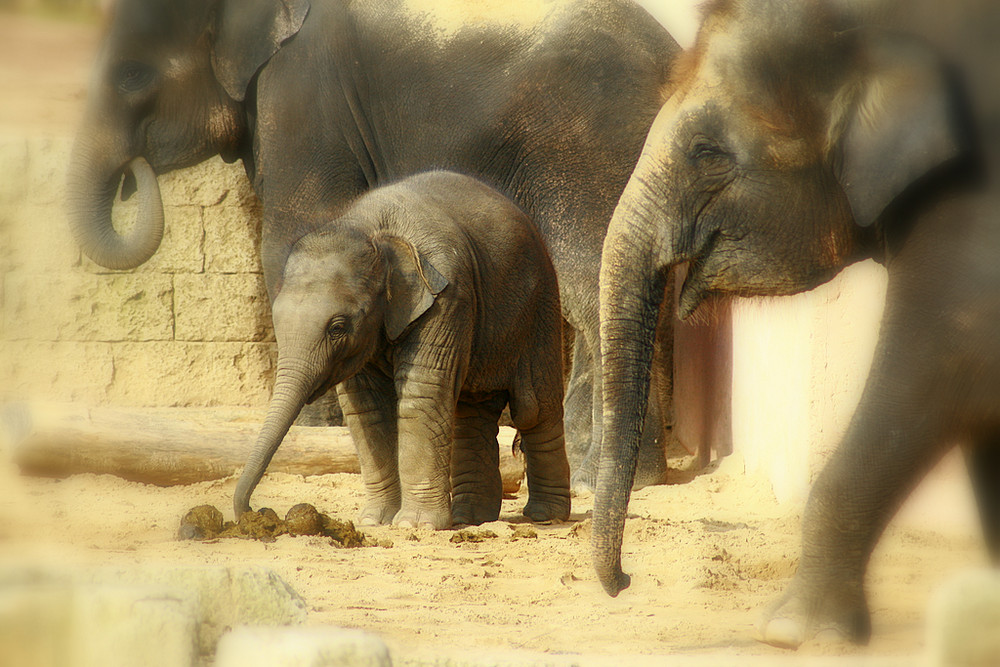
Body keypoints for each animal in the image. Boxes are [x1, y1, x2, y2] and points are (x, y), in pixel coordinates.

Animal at [68, 0, 680, 488]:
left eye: (131, 76)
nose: (134, 174)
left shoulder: (301, 101)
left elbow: (288, 237)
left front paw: (314, 426)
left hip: (585, 149)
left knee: (593, 281)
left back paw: (608, 475)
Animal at [233, 170, 572, 528]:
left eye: (338, 328)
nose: (259, 512)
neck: (371, 229)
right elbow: (367, 409)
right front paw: (375, 521)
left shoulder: (448, 295)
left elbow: (421, 396)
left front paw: (415, 524)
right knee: (471, 412)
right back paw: (471, 518)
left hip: (541, 305)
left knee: (534, 408)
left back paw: (545, 515)